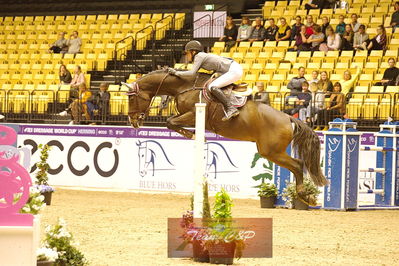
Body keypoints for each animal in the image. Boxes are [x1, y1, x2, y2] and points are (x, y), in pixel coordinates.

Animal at [128, 69, 328, 205]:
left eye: (131, 98)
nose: (132, 121)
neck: (184, 87)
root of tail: (288, 118)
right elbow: (171, 122)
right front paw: (195, 136)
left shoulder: (193, 114)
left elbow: (170, 121)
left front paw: (193, 135)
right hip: (271, 151)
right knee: (298, 165)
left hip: (271, 152)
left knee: (298, 165)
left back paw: (305, 196)